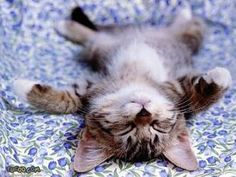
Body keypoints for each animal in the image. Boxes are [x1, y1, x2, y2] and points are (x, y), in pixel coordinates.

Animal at [14, 7, 232, 172]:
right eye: (128, 128)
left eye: (157, 126)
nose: (144, 112)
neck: (134, 82)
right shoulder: (90, 87)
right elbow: (65, 101)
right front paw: (19, 85)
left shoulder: (175, 87)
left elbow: (199, 100)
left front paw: (222, 77)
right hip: (101, 47)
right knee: (94, 36)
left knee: (192, 31)